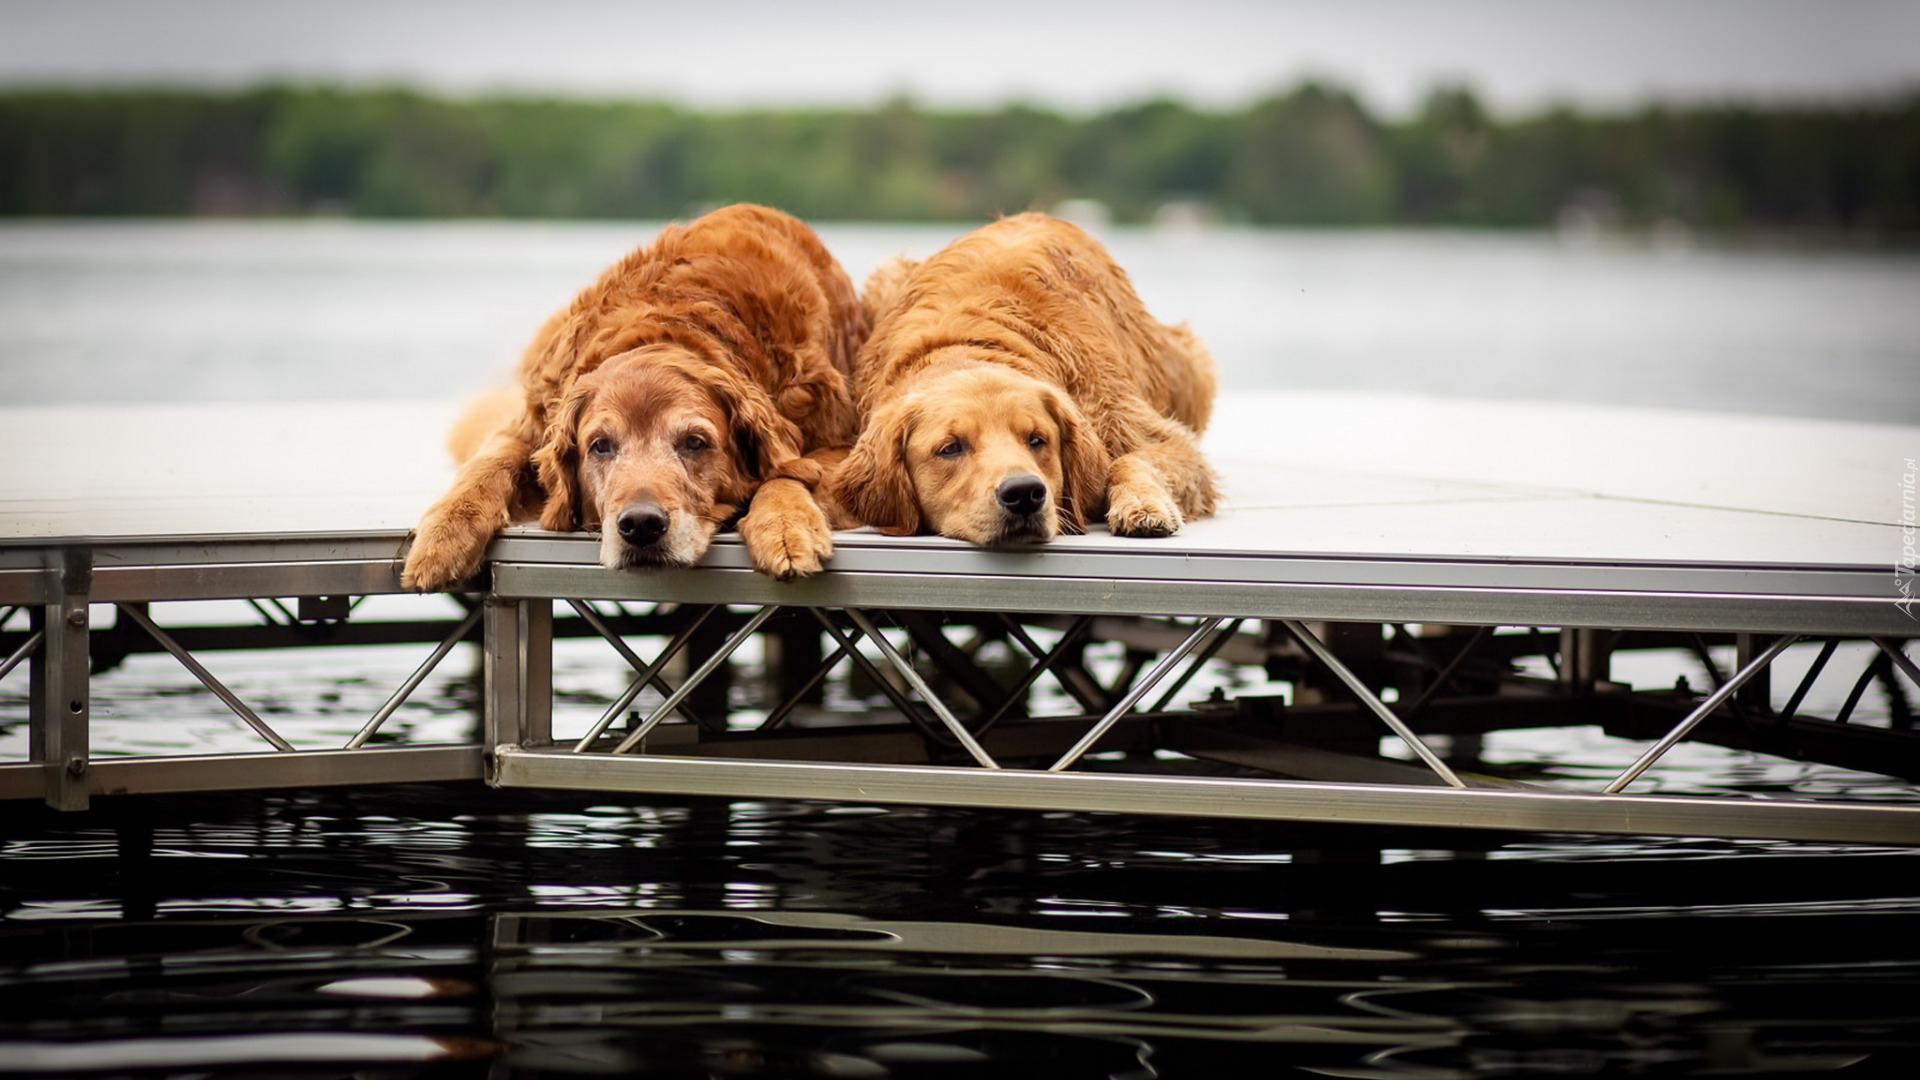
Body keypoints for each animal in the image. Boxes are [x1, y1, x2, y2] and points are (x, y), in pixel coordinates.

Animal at [401, 201, 867, 588]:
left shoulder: (845, 445)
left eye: (695, 442)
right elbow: (489, 463)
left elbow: (787, 474)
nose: (641, 525)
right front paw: (443, 535)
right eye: (600, 446)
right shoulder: (531, 421)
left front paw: (785, 527)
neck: (672, 321)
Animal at [821, 213, 1213, 541]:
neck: (967, 344)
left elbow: (1133, 457)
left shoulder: (1134, 424)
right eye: (950, 448)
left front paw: (1142, 503)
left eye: (1037, 440)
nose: (1024, 493)